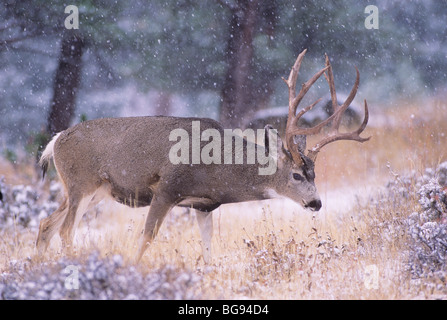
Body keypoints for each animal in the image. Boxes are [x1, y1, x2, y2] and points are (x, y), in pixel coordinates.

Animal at [36, 49, 372, 262]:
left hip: (92, 190)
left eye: (316, 174)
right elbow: (146, 238)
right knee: (65, 229)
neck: (217, 169)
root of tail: (56, 140)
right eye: (297, 175)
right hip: (82, 182)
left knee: (47, 224)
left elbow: (209, 251)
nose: (316, 203)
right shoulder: (166, 189)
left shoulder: (204, 205)